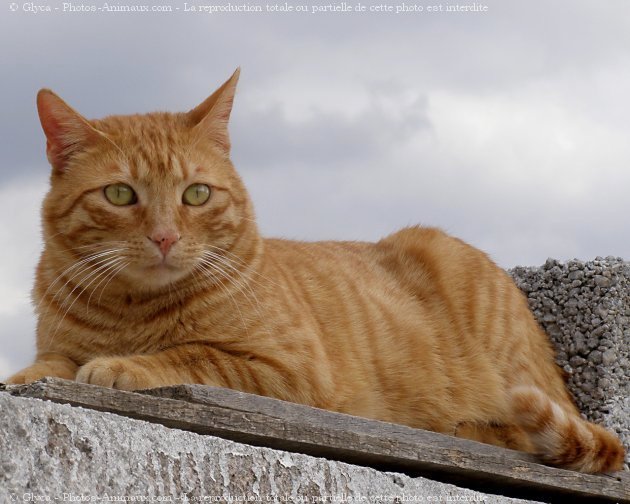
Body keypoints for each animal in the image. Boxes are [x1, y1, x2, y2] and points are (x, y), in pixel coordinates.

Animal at [6, 70, 628, 472]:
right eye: (119, 194)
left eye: (196, 194)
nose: (164, 236)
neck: (130, 308)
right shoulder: (59, 344)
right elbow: (50, 362)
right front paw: (30, 373)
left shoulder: (290, 372)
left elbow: (189, 353)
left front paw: (121, 365)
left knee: (530, 430)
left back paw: (465, 427)